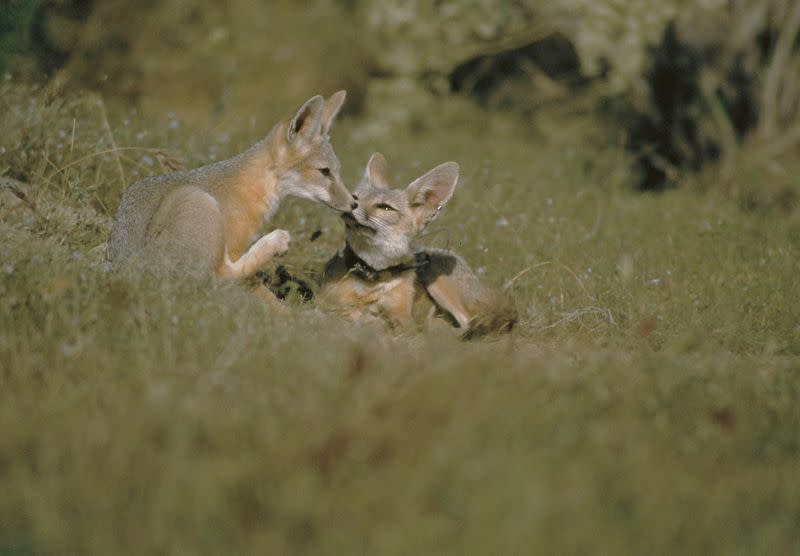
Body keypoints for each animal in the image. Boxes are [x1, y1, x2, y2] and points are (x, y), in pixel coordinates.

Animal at [108, 94, 354, 282]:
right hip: (199, 201)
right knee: (223, 278)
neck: (252, 185)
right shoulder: (235, 246)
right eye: (325, 172)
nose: (354, 203)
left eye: (338, 170)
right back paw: (274, 242)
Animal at [320, 151, 520, 338]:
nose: (351, 205)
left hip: (436, 274)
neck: (373, 278)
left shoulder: (404, 320)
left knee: (468, 325)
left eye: (385, 207)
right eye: (355, 197)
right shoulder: (327, 306)